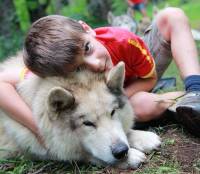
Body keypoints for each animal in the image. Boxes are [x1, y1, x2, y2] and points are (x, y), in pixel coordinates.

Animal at [0, 52, 161, 169]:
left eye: (113, 113)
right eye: (88, 123)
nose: (121, 151)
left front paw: (142, 137)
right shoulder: (44, 147)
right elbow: (87, 154)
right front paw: (131, 157)